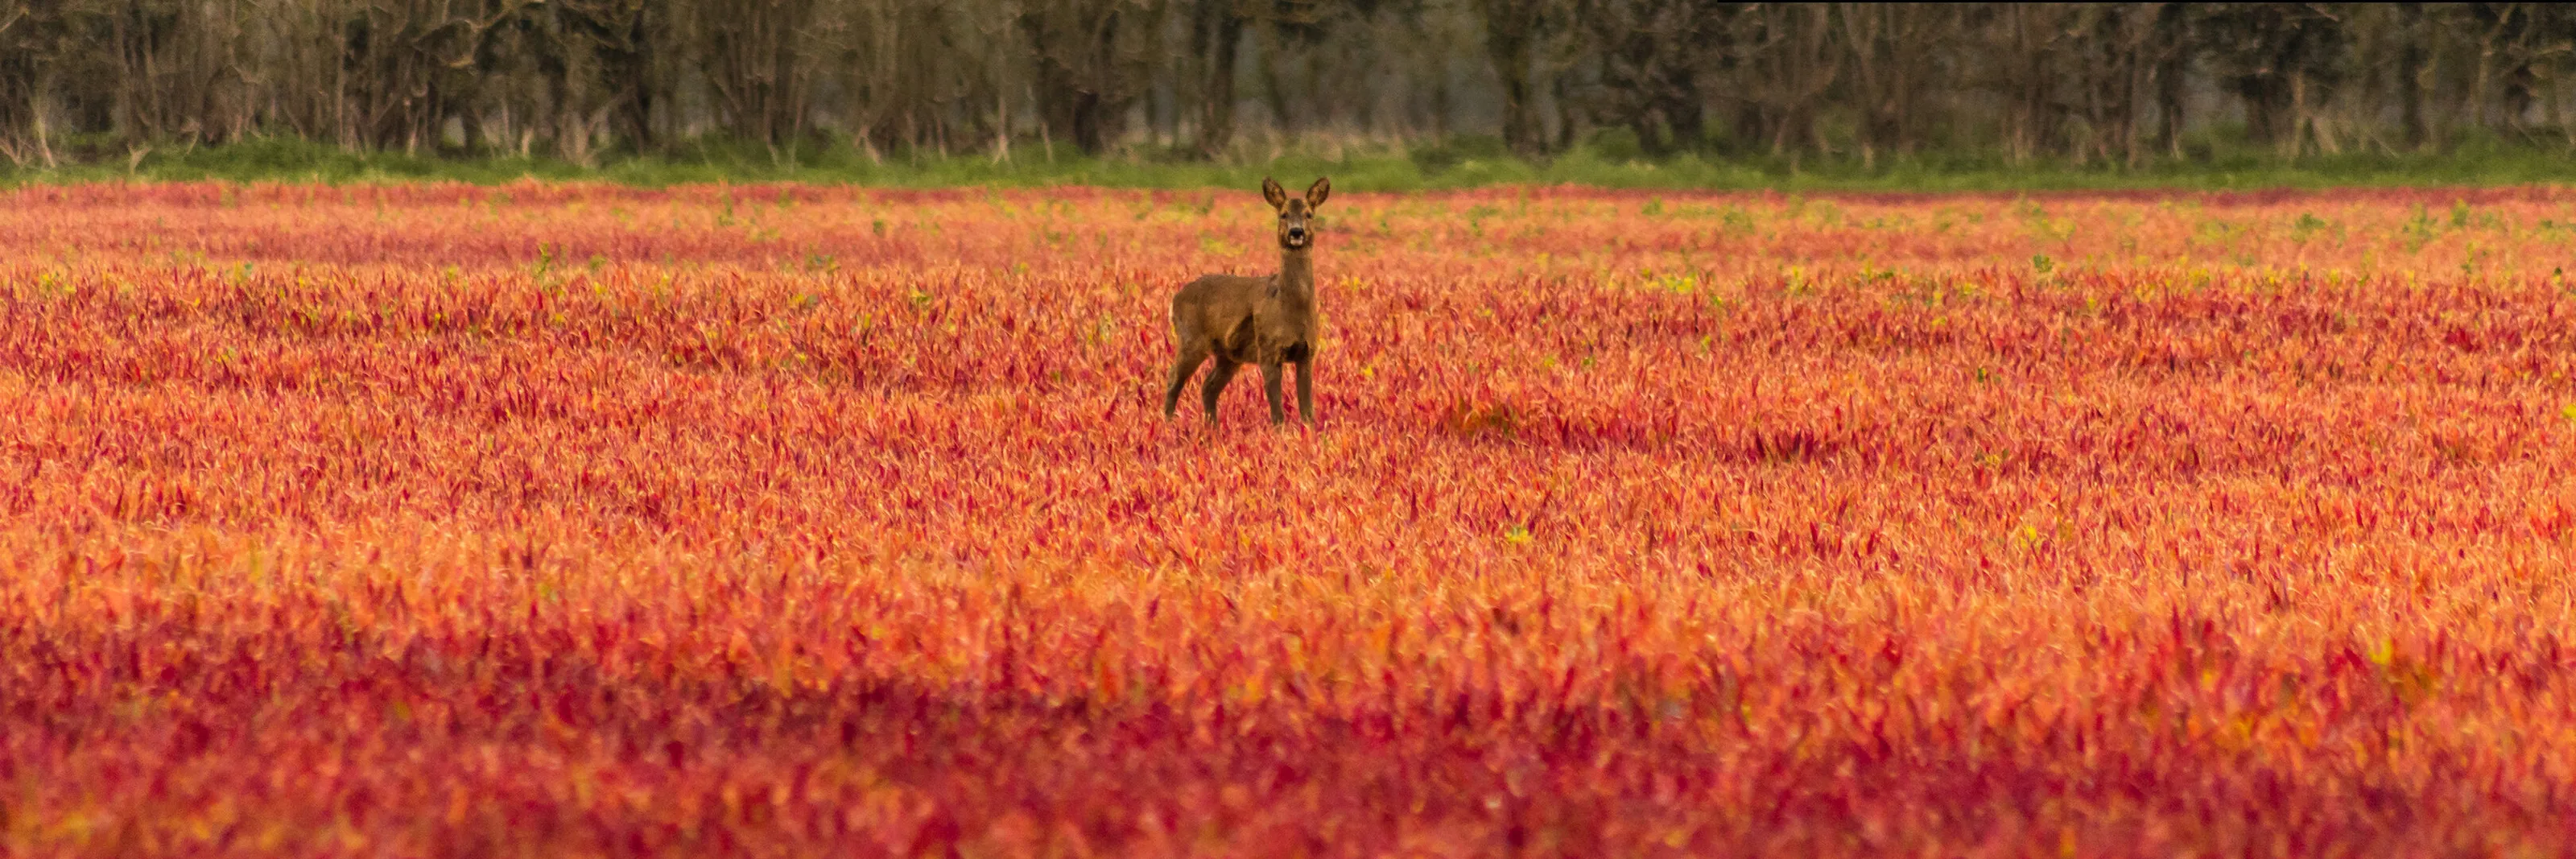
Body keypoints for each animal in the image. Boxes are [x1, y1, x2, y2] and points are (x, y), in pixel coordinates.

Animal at [1164, 176, 1331, 427]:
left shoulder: (1307, 352)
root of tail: (1175, 298)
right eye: (1283, 214)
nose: (1296, 232)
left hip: (1229, 355)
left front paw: (1310, 431)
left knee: (1208, 386)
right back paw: (1167, 424)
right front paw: (1280, 432)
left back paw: (1212, 428)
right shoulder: (1268, 349)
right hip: (1191, 338)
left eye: (1309, 214)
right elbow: (1277, 411)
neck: (1289, 308)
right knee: (1174, 378)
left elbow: (1307, 409)